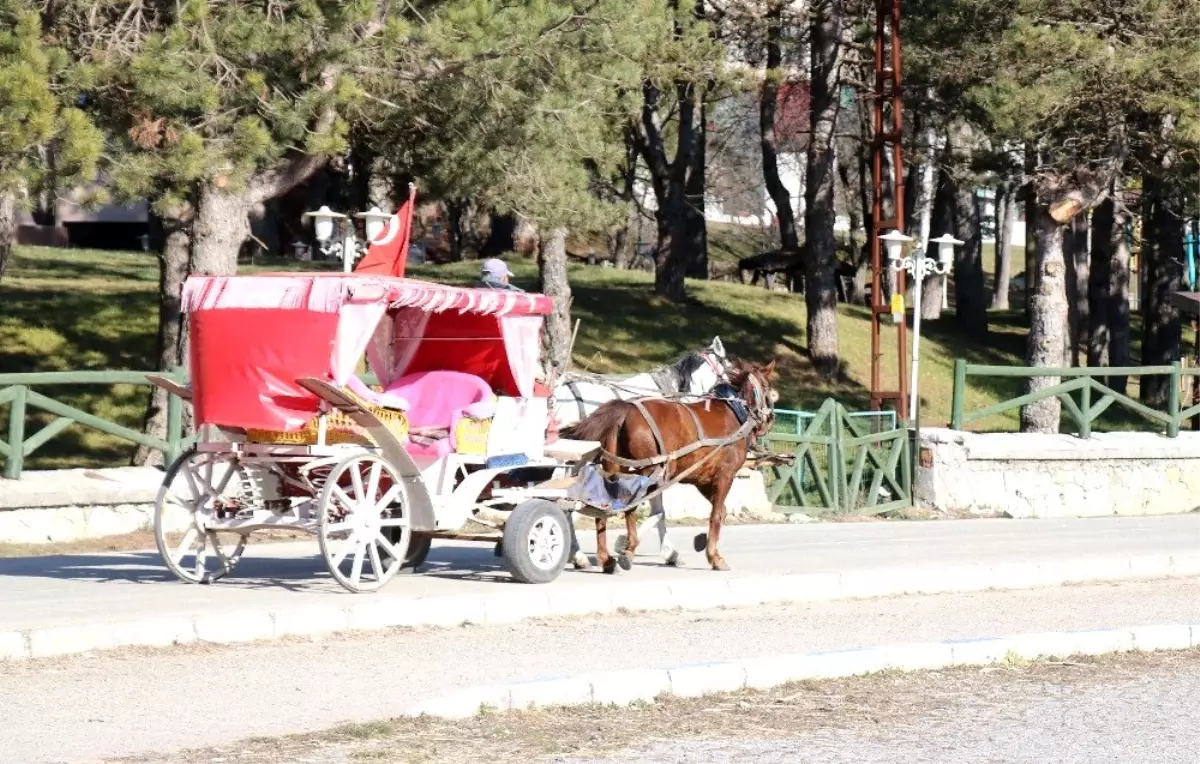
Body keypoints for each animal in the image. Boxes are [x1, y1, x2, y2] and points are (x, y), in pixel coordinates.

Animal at [561, 359, 777, 568]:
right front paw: (714, 557)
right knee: (626, 507)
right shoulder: (725, 476)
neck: (736, 412)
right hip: (646, 472)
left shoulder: (701, 479)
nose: (770, 418)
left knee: (604, 509)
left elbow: (718, 511)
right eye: (767, 387)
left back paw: (605, 558)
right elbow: (714, 515)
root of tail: (625, 408)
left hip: (616, 469)